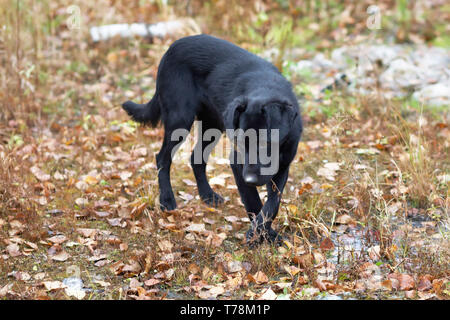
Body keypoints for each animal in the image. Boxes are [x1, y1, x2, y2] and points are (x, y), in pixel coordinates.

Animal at [123, 34, 302, 245]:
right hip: (180, 119)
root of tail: (171, 48)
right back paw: (166, 200)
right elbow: (253, 200)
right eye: (241, 143)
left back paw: (207, 195)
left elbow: (272, 204)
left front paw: (267, 233)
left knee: (196, 158)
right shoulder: (237, 163)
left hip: (213, 124)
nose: (250, 179)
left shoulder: (283, 166)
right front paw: (259, 234)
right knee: (162, 158)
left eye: (265, 142)